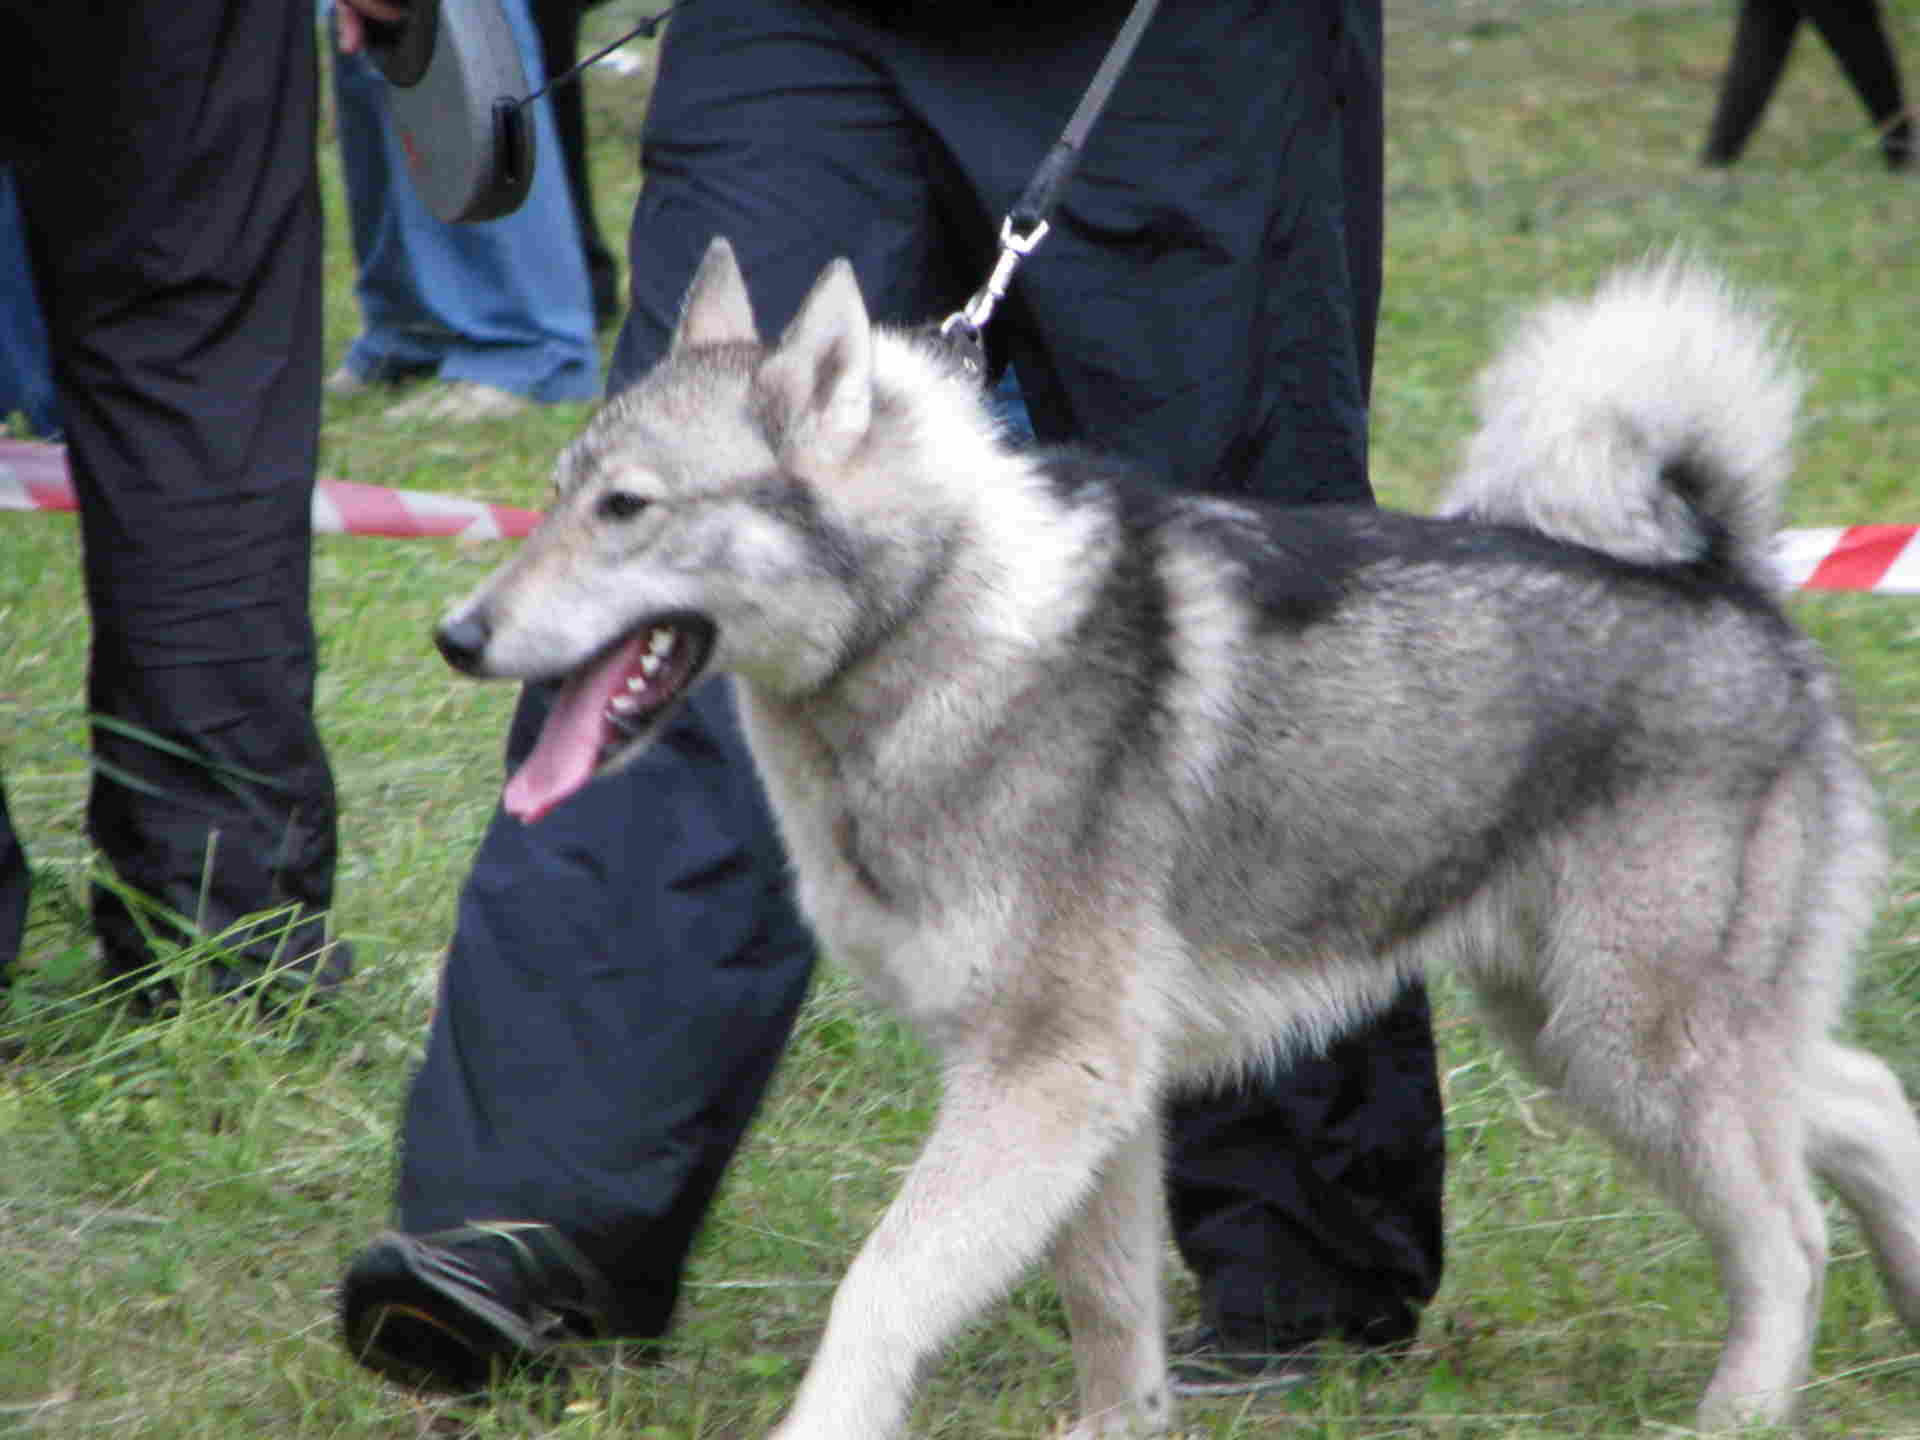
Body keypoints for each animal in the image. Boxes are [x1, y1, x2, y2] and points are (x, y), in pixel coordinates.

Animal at [435, 242, 1920, 1436]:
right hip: (1583, 1028)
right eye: (556, 493)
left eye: (627, 508)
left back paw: (1741, 1410)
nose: (458, 636)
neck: (941, 626)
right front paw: (1119, 1428)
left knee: (1788, 1237)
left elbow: (885, 1286)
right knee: (1859, 1100)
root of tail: (1729, 579)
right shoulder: (1090, 1095)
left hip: (1634, 1041)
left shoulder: (1044, 1076)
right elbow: (1110, 1313)